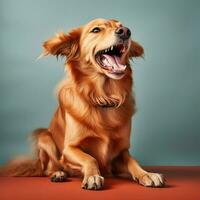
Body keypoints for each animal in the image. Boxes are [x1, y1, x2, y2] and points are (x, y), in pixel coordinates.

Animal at [0, 18, 165, 189]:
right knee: (49, 169)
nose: (125, 31)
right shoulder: (69, 149)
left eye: (121, 26)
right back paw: (58, 174)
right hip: (44, 137)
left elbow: (133, 161)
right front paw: (93, 176)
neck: (103, 98)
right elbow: (89, 158)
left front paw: (146, 174)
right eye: (96, 30)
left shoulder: (122, 151)